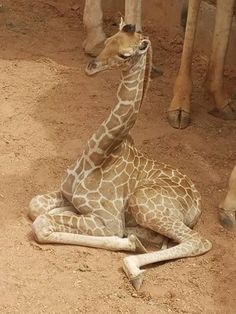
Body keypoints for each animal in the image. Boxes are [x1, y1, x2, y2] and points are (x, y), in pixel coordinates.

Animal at [28, 21, 212, 290]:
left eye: (125, 55)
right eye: (107, 41)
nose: (91, 66)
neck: (98, 155)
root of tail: (198, 203)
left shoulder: (109, 220)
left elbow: (41, 223)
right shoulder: (66, 194)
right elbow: (36, 206)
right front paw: (63, 211)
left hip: (143, 202)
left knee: (198, 241)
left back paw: (134, 267)